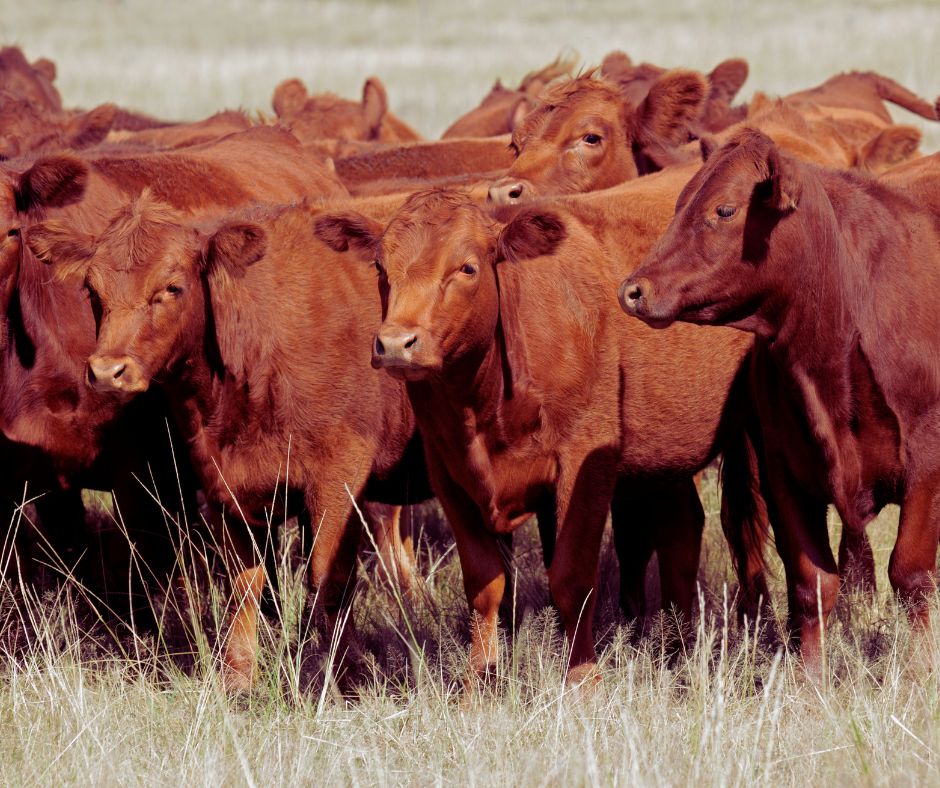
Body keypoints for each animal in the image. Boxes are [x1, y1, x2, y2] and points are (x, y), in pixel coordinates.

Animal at [314, 186, 761, 687]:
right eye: (379, 267)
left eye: (467, 268)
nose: (395, 344)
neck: (482, 405)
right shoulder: (449, 475)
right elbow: (485, 584)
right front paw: (479, 683)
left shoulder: (584, 462)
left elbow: (570, 577)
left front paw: (583, 682)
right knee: (681, 530)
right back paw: (677, 650)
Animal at [619, 131, 940, 677]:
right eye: (680, 203)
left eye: (724, 209)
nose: (634, 290)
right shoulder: (785, 473)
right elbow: (812, 585)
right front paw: (809, 680)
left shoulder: (928, 464)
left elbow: (911, 575)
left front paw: (921, 671)